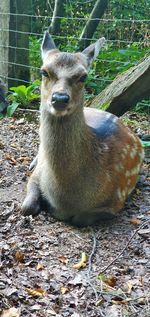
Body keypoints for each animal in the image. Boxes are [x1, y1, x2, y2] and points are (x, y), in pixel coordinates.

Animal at [21, 31, 145, 225]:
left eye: (83, 76)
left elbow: (80, 219)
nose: (60, 98)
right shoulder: (38, 175)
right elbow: (26, 207)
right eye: (44, 71)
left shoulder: (116, 201)